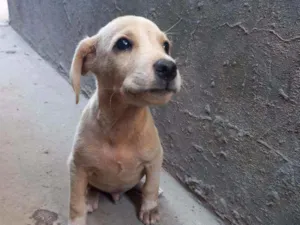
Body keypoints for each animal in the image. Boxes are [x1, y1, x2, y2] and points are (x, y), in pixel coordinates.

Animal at [67, 15, 180, 225]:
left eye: (166, 46)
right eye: (123, 43)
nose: (169, 67)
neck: (122, 125)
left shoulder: (154, 160)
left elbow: (151, 187)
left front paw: (150, 209)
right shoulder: (77, 167)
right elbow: (75, 202)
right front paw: (78, 217)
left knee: (144, 184)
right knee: (91, 187)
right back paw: (90, 197)